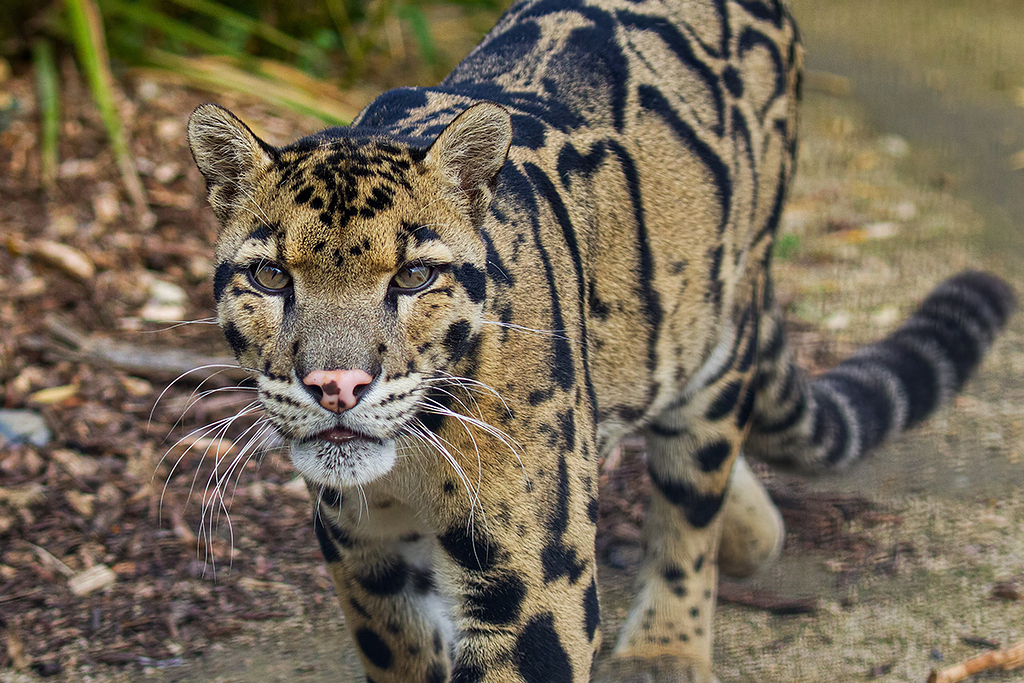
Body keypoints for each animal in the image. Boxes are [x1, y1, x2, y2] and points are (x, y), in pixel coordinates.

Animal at [185, 0, 1015, 680]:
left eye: (416, 275)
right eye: (269, 275)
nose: (336, 387)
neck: (416, 459)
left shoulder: (529, 580)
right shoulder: (364, 552)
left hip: (720, 329)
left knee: (693, 487)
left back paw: (666, 646)